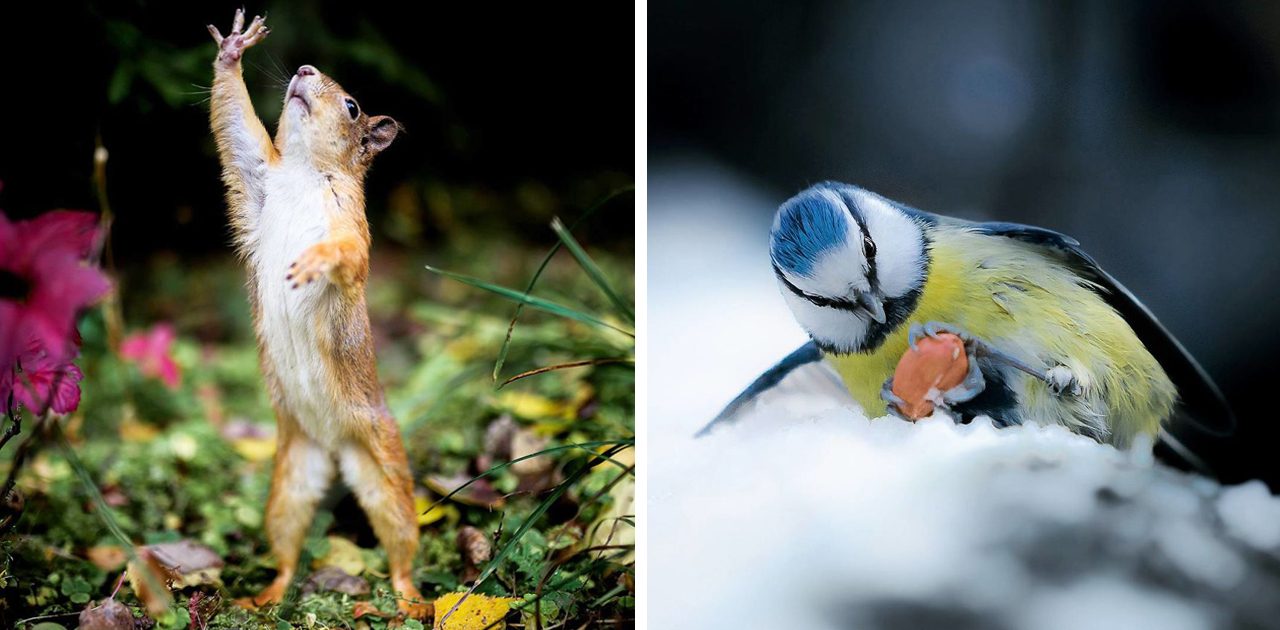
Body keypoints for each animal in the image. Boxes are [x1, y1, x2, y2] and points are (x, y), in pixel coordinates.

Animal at [207, 9, 427, 617]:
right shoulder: (255, 179)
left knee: (400, 544)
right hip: (289, 482)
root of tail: (331, 445)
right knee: (286, 545)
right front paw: (233, 52)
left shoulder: (351, 225)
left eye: (352, 106)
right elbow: (235, 132)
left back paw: (409, 600)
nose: (304, 70)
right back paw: (264, 596)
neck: (307, 171)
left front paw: (314, 262)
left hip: (384, 469)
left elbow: (348, 256)